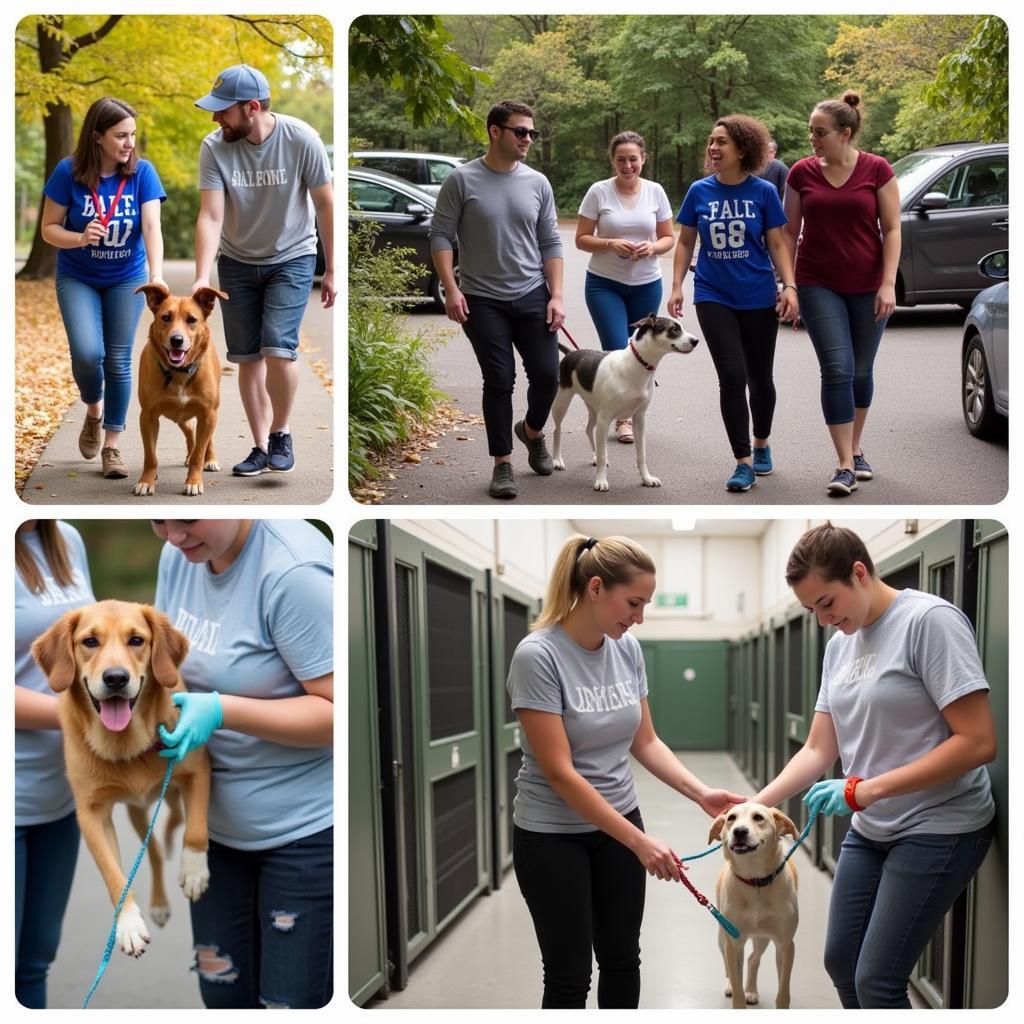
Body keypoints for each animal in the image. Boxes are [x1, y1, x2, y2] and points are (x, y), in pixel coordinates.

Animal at [32, 598, 211, 958]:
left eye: (136, 640)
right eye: (89, 641)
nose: (116, 678)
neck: (127, 742)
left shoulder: (197, 771)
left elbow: (196, 830)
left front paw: (195, 870)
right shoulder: (91, 813)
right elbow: (115, 875)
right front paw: (128, 923)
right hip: (137, 812)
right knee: (153, 851)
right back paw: (158, 904)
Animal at [132, 286, 226, 497]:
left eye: (191, 319)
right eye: (166, 317)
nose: (176, 340)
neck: (179, 372)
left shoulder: (208, 413)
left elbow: (199, 453)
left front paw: (194, 481)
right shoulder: (147, 416)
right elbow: (150, 455)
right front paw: (146, 481)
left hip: (210, 414)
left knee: (206, 439)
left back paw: (210, 459)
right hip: (180, 415)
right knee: (190, 429)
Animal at [552, 315, 704, 491]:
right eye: (674, 328)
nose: (696, 341)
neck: (634, 366)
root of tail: (572, 353)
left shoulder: (639, 419)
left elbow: (641, 455)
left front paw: (646, 478)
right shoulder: (605, 419)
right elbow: (604, 454)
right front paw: (601, 480)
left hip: (593, 407)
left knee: (589, 429)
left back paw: (593, 456)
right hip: (562, 403)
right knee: (557, 430)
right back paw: (557, 460)